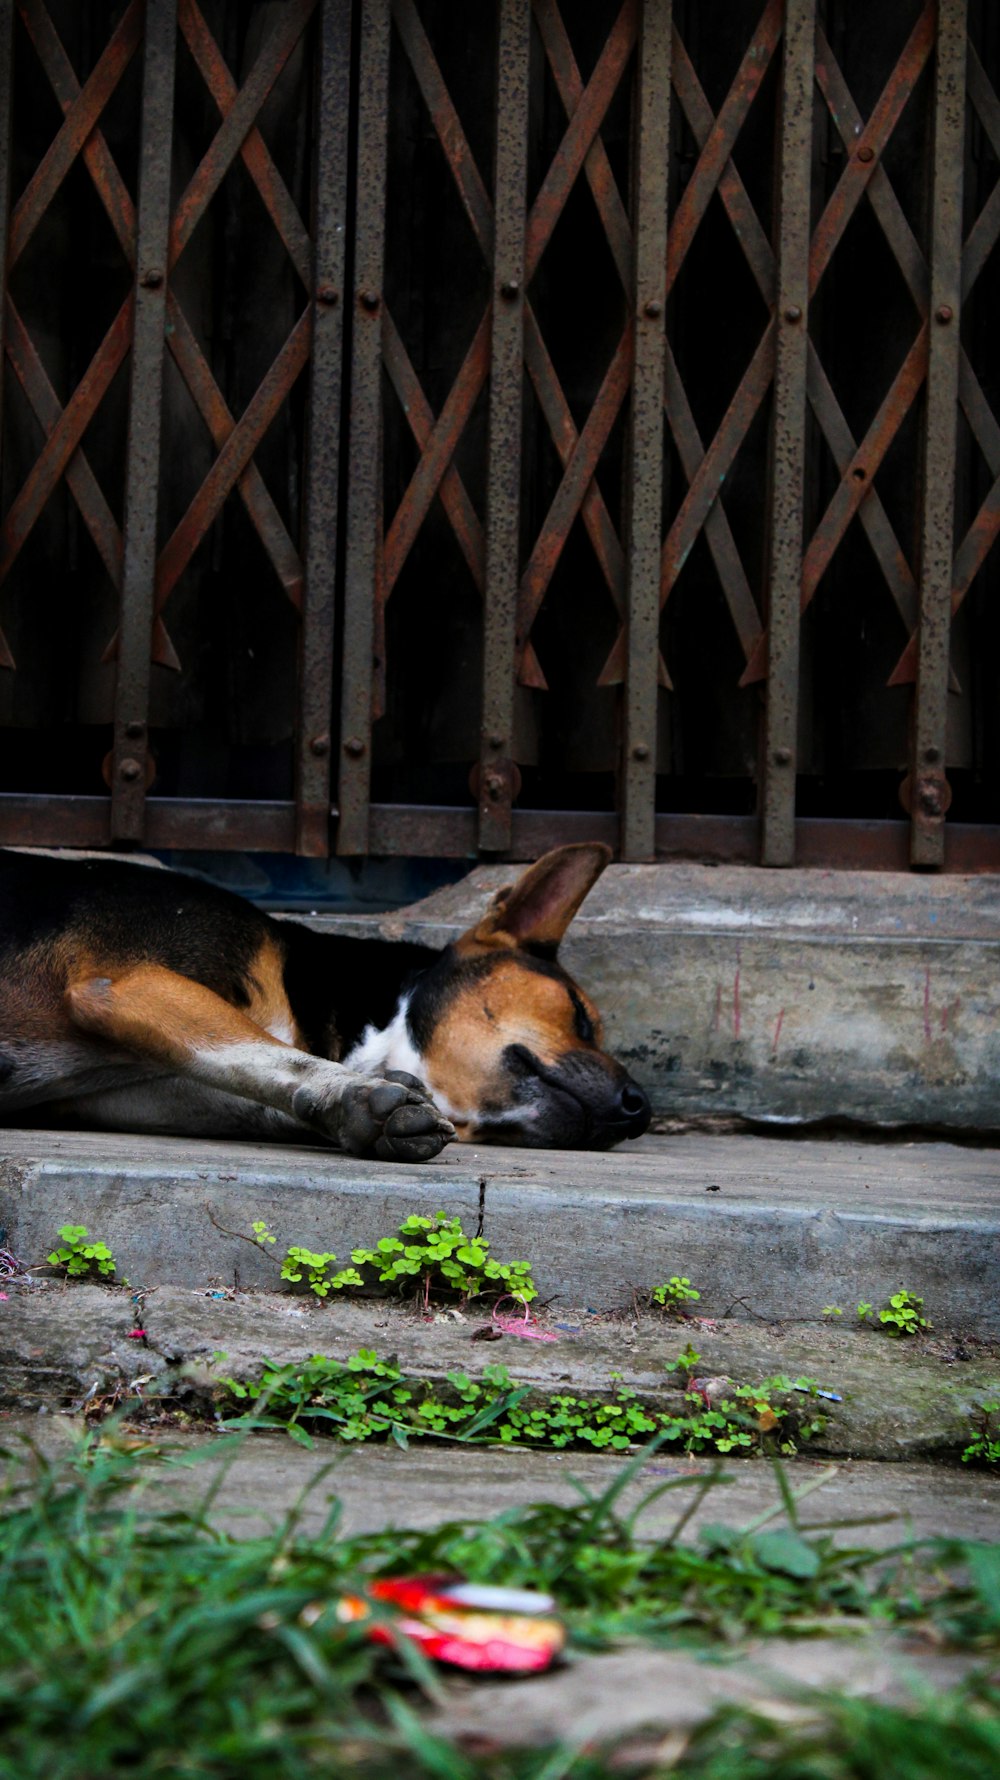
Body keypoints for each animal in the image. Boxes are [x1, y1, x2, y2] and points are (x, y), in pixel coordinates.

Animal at [0, 840, 647, 1160]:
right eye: (581, 1017)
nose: (641, 1110)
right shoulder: (128, 987)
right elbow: (266, 1056)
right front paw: (352, 1094)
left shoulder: (129, 1092)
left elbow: (252, 1097)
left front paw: (362, 1116)